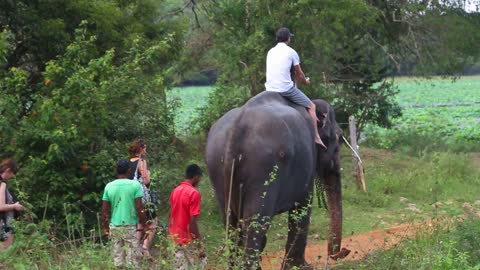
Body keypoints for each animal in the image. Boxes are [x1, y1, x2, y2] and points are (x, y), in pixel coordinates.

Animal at [204, 90, 346, 268]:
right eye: (339, 138)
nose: (339, 254)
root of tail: (236, 129)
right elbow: (303, 206)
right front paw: (301, 267)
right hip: (263, 169)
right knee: (257, 222)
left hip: (217, 168)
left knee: (231, 223)